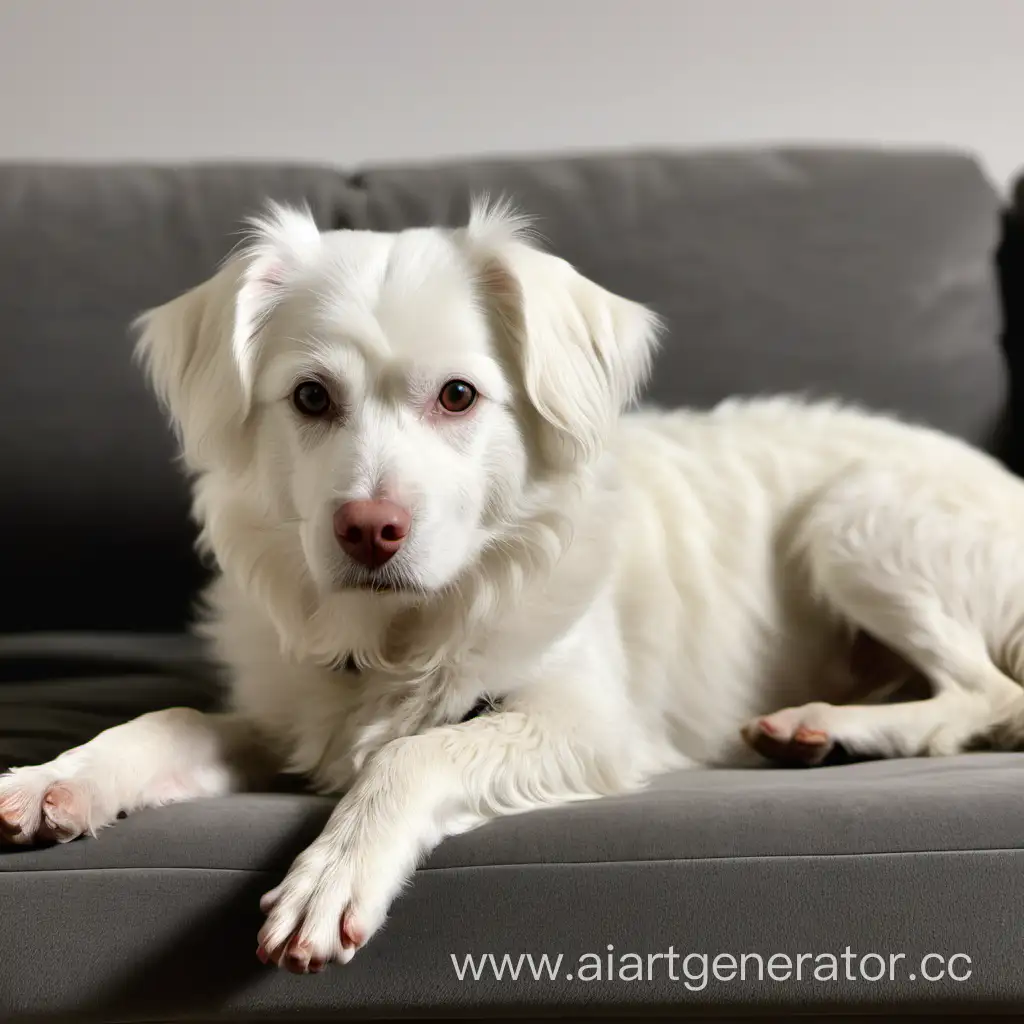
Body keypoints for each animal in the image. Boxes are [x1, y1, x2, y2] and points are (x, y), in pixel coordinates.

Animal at [2, 203, 1024, 970]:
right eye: (309, 398)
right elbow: (169, 720)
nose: (368, 530)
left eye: (458, 395)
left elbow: (415, 753)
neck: (400, 631)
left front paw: (335, 871)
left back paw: (832, 726)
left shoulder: (591, 725)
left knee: (987, 695)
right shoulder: (289, 718)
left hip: (853, 520)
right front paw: (62, 778)